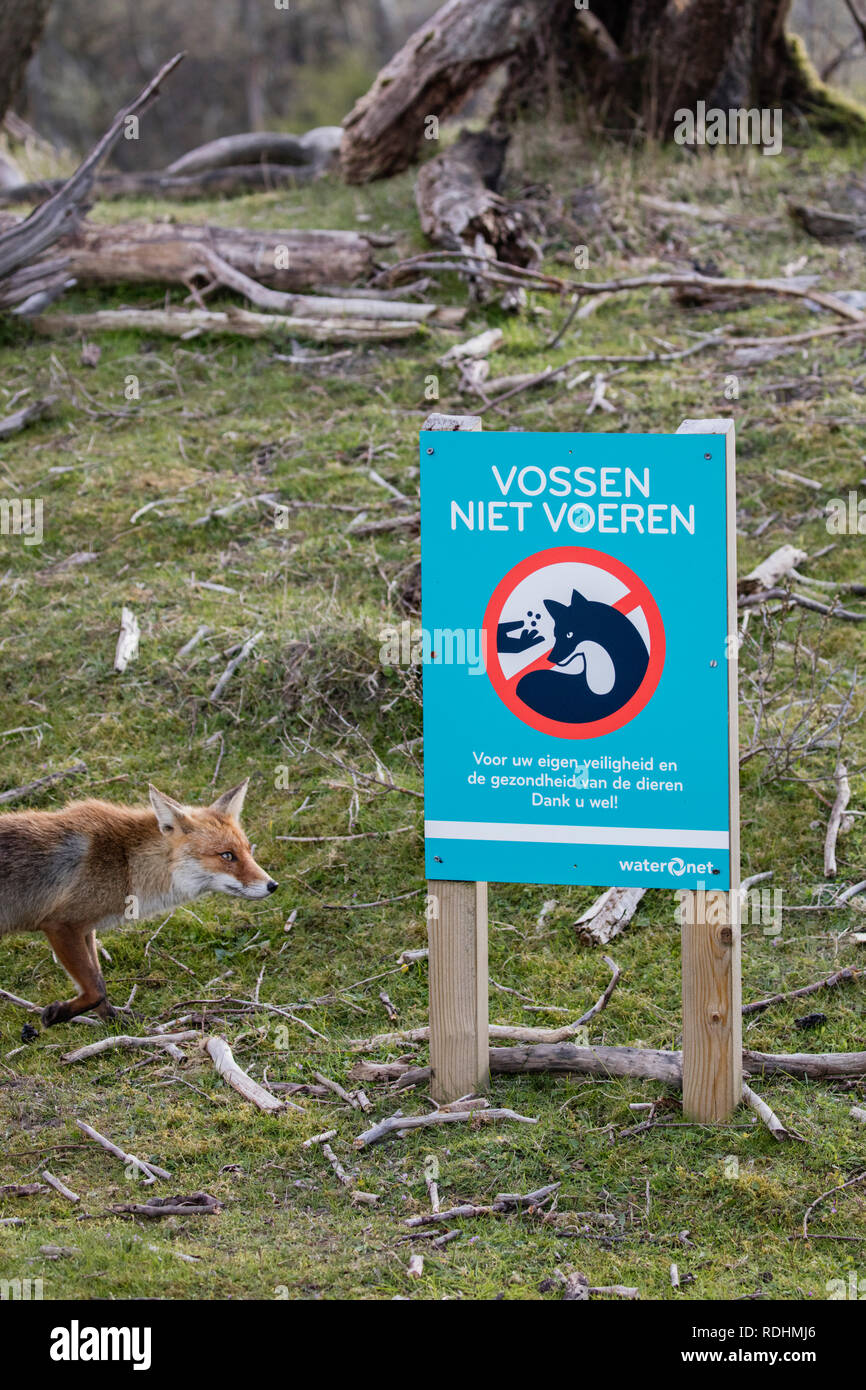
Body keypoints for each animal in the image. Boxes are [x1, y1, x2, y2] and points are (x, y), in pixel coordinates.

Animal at [0, 779, 277, 1026]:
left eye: (248, 851)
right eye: (227, 855)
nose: (272, 885)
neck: (126, 862)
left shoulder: (85, 928)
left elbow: (98, 983)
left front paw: (116, 1024)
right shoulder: (61, 925)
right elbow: (95, 990)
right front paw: (57, 1014)